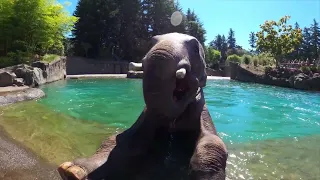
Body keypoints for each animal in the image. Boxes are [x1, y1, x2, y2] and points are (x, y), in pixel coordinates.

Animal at [57, 32, 228, 180]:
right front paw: (71, 171)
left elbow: (213, 145)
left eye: (195, 48)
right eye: (151, 42)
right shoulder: (146, 117)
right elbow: (121, 138)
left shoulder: (200, 112)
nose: (191, 80)